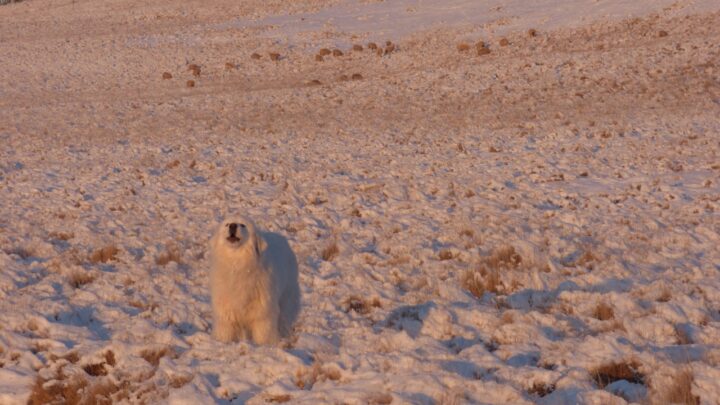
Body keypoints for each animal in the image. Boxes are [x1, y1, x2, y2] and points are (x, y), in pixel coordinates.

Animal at [208, 215, 300, 344]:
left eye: (243, 225)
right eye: (227, 224)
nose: (232, 225)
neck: (236, 264)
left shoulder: (262, 313)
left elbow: (263, 333)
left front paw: (265, 345)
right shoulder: (227, 310)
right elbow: (225, 330)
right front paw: (221, 342)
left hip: (286, 298)